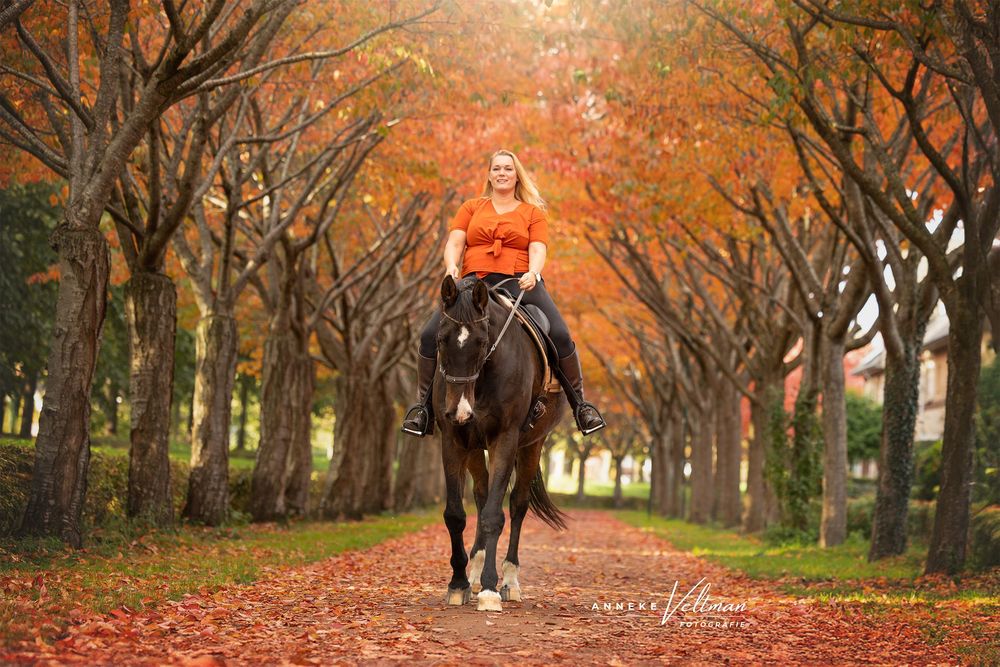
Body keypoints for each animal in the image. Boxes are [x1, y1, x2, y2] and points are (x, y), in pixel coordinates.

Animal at [435, 274, 569, 612]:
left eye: (482, 342)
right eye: (441, 339)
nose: (459, 410)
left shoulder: (505, 439)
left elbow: (495, 516)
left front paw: (490, 589)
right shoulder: (453, 439)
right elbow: (456, 515)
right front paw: (459, 583)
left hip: (532, 445)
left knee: (517, 505)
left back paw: (509, 581)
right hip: (473, 447)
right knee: (482, 497)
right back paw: (475, 570)